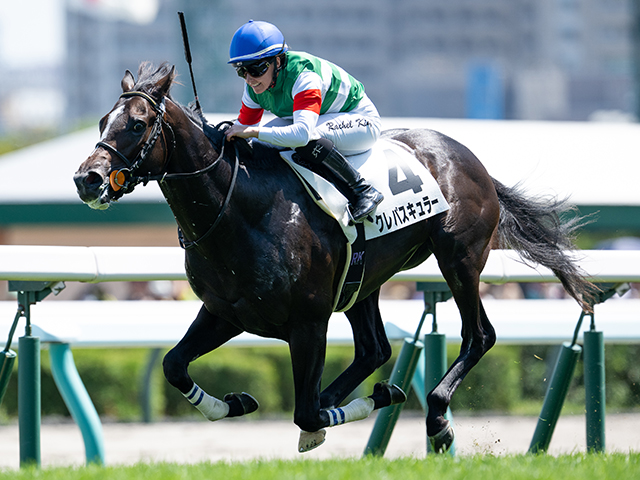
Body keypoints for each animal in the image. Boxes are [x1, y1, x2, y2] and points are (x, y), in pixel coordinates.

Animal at [74, 62, 596, 453]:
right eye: (101, 123)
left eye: (138, 124)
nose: (87, 179)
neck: (241, 207)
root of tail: (471, 159)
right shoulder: (225, 311)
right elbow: (174, 365)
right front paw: (232, 404)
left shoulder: (309, 321)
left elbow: (304, 410)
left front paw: (342, 410)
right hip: (365, 279)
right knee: (374, 349)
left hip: (459, 259)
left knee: (479, 334)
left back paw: (435, 416)